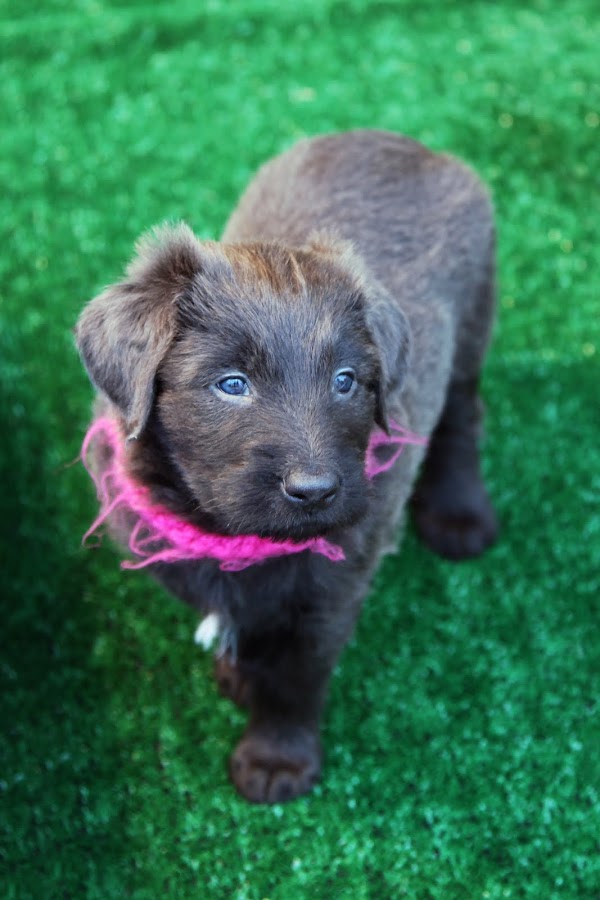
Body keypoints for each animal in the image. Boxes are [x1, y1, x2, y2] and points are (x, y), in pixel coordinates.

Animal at [76, 130, 496, 804]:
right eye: (232, 384)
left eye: (346, 380)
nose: (316, 491)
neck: (231, 532)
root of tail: (397, 140)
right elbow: (239, 618)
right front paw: (239, 668)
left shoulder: (333, 588)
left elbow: (298, 673)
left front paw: (278, 756)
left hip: (475, 318)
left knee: (461, 417)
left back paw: (459, 513)